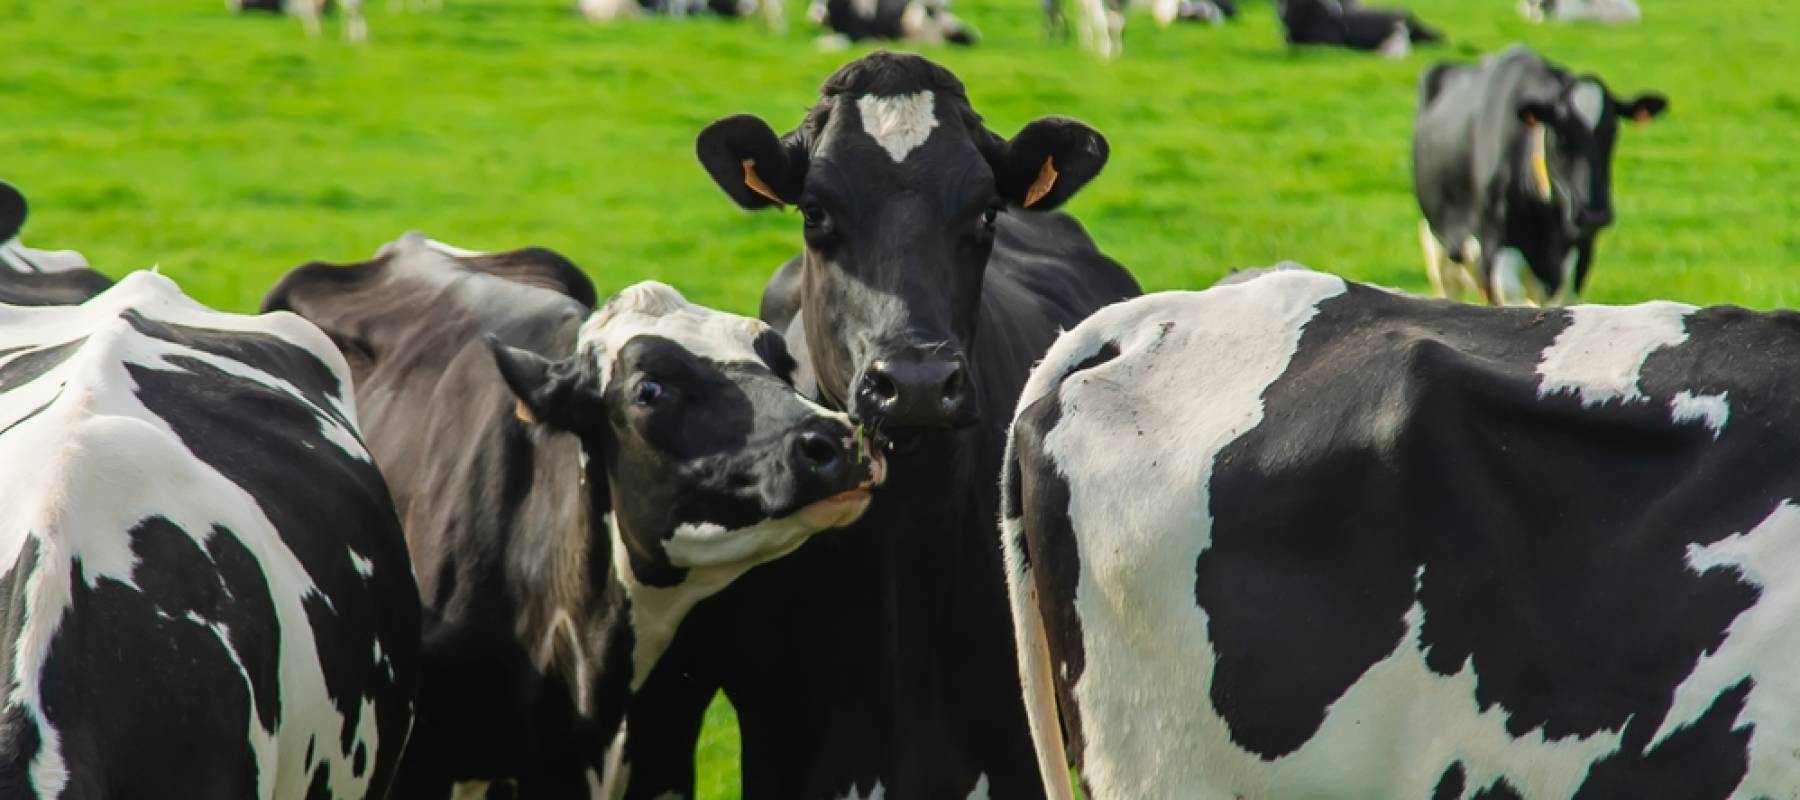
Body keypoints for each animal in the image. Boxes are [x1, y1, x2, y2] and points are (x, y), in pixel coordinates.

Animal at [1414, 45, 1667, 305]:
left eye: (1613, 132)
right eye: (1562, 134)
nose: (1595, 215)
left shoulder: (1579, 256)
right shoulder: (1498, 253)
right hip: (1440, 249)